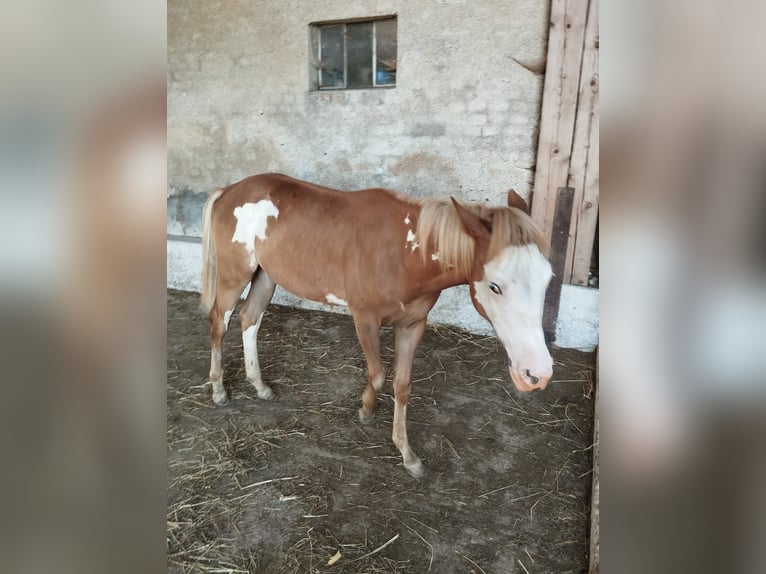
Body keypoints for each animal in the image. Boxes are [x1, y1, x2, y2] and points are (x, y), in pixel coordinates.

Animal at [201, 173, 556, 480]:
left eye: (548, 278)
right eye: (495, 286)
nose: (537, 374)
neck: (405, 253)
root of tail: (229, 190)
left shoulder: (412, 325)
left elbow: (402, 383)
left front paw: (408, 455)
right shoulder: (365, 319)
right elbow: (378, 375)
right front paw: (366, 410)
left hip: (266, 276)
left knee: (250, 319)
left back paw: (259, 385)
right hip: (235, 276)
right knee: (219, 322)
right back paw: (219, 389)